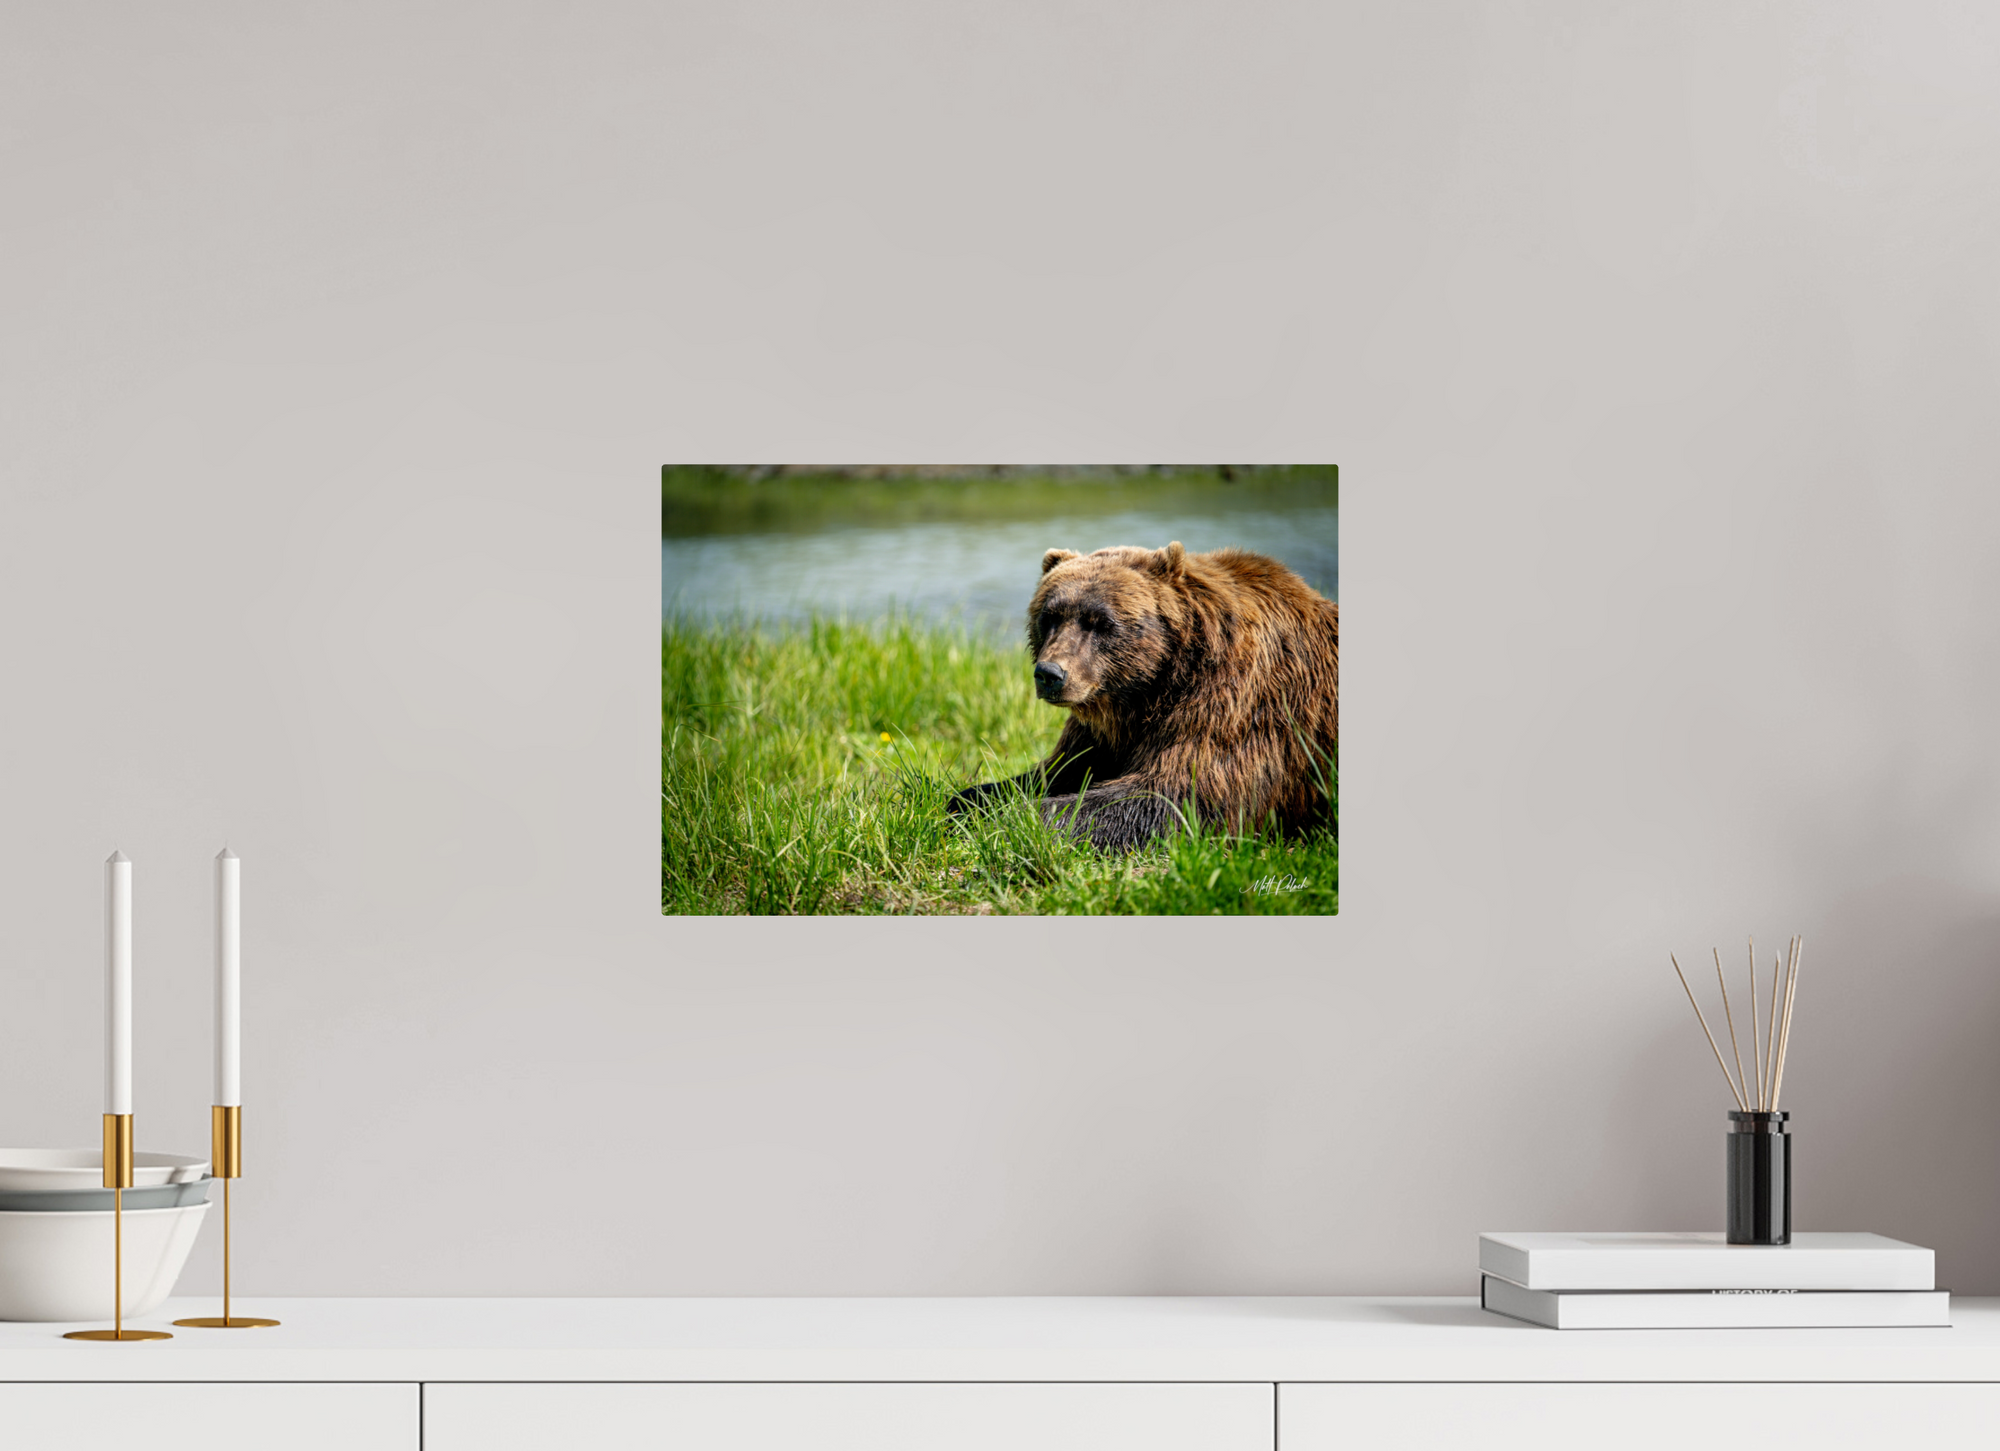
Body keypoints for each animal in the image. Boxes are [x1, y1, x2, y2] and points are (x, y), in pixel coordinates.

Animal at [949, 541, 1338, 851]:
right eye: (1049, 616)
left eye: (1101, 622)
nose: (1050, 674)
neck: (1147, 691)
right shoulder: (1101, 730)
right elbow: (1056, 771)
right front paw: (963, 800)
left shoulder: (1232, 703)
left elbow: (1177, 795)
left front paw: (1014, 818)